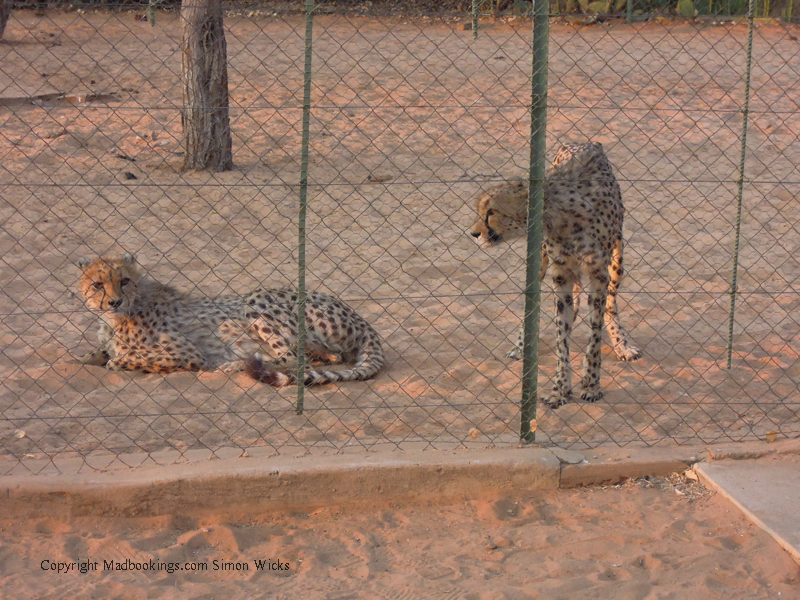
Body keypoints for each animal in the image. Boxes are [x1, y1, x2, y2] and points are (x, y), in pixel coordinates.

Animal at [76, 252, 384, 384]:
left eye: (124, 281)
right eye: (98, 284)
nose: (115, 301)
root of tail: (355, 314)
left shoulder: (189, 354)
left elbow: (125, 359)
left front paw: (116, 361)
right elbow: (91, 355)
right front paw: (84, 358)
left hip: (256, 299)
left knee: (295, 359)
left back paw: (233, 366)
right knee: (326, 357)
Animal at [468, 142, 644, 408]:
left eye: (492, 211)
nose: (473, 234)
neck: (562, 216)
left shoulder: (598, 273)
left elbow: (594, 333)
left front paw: (591, 384)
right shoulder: (561, 274)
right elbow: (563, 337)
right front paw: (560, 388)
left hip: (617, 260)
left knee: (610, 304)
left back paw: (621, 345)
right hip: (541, 261)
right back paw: (520, 347)